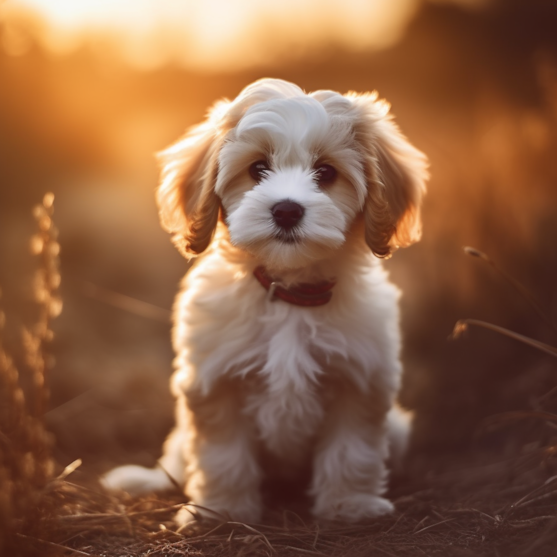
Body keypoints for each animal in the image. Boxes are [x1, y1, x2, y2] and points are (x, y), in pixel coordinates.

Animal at [102, 78, 428, 520]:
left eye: (326, 172)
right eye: (257, 169)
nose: (287, 210)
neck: (288, 293)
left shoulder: (360, 379)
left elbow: (352, 449)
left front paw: (350, 505)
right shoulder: (214, 381)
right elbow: (223, 455)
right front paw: (223, 510)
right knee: (176, 462)